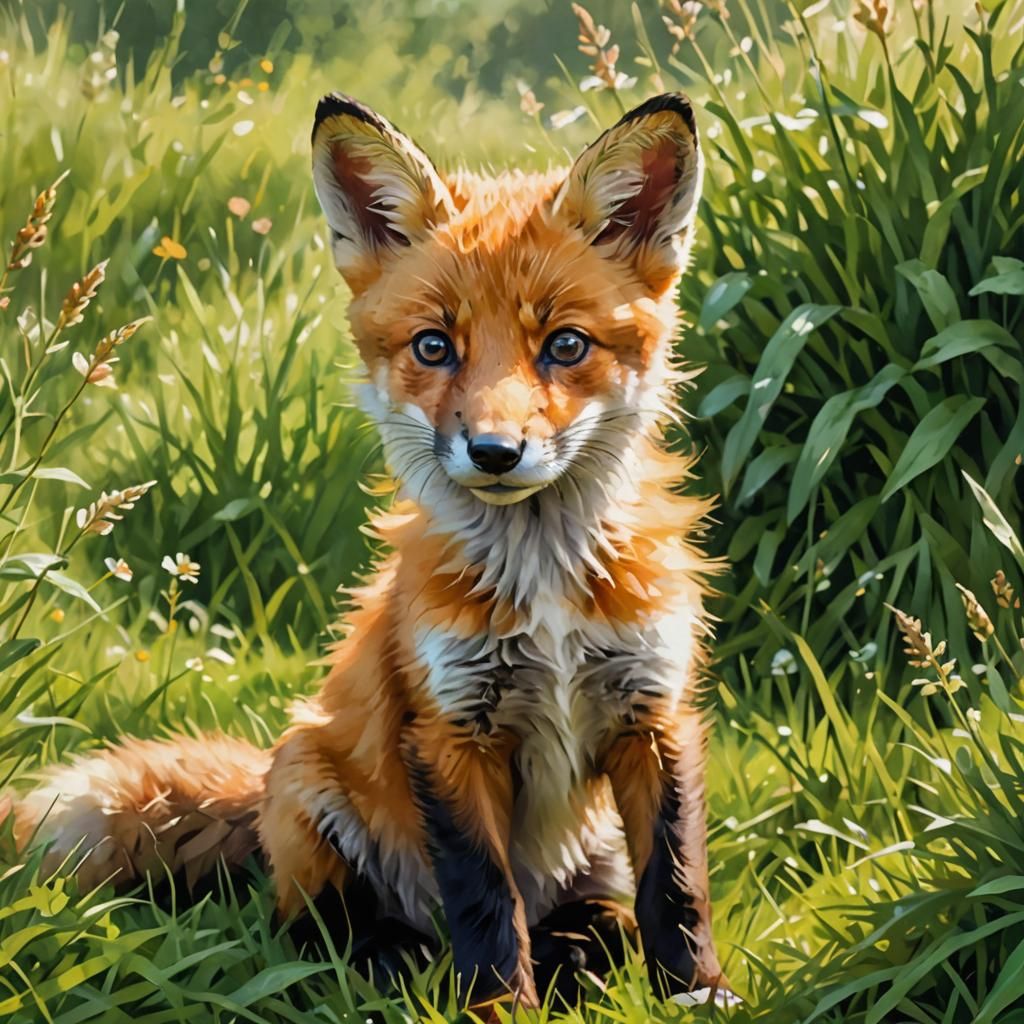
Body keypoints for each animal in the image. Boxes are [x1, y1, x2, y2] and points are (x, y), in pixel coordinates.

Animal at [7, 91, 731, 1016]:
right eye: (434, 347)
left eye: (565, 345)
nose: (495, 452)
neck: (545, 595)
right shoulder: (450, 731)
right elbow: (484, 901)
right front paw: (500, 1006)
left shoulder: (654, 711)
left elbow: (675, 886)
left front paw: (698, 994)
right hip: (307, 780)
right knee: (309, 926)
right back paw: (396, 958)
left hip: (591, 840)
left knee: (591, 915)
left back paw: (582, 950)